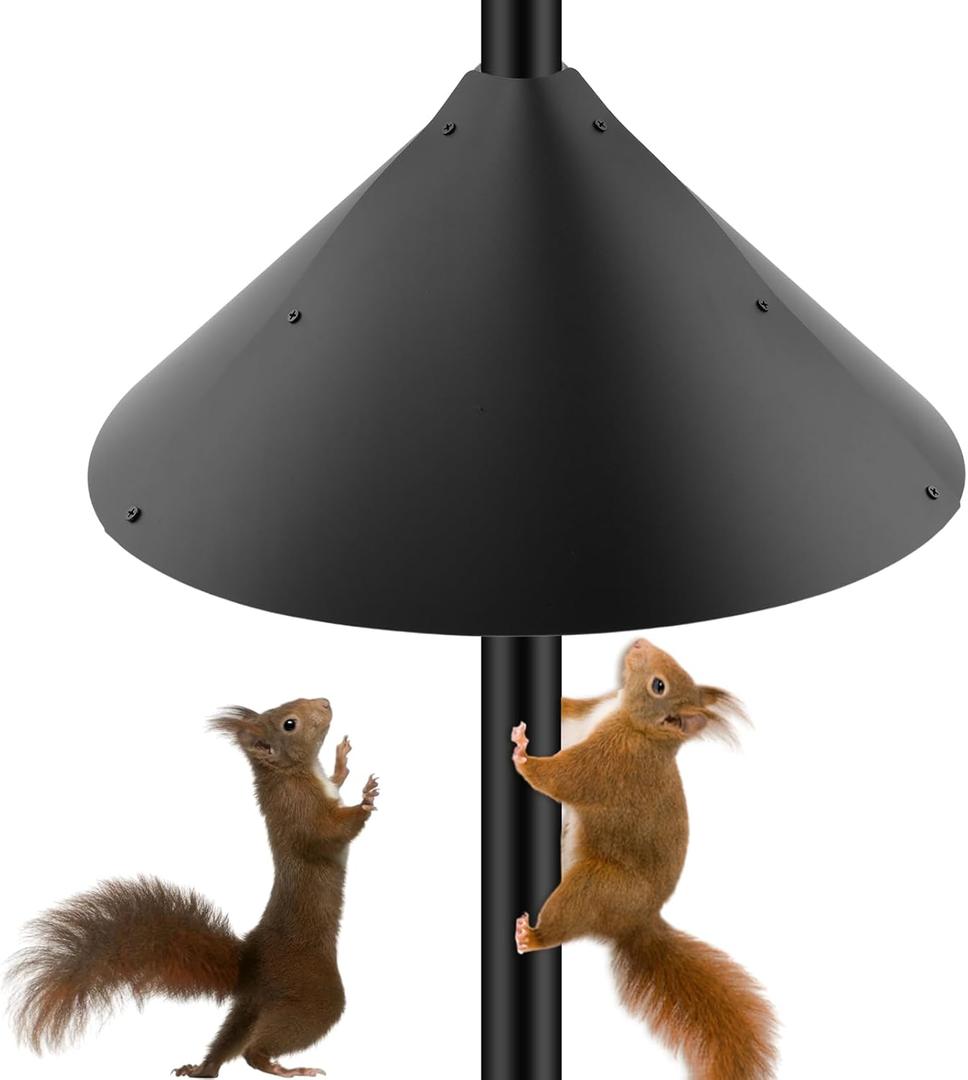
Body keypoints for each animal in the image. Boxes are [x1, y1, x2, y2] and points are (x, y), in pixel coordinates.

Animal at [8, 697, 379, 1079]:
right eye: (289, 723)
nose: (325, 702)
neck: (290, 773)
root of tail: (250, 964)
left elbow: (336, 783)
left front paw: (341, 762)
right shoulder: (300, 813)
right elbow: (330, 834)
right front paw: (365, 800)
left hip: (250, 1006)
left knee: (229, 1041)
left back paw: (201, 1068)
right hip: (313, 995)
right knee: (254, 1050)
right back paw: (284, 1068)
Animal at [511, 639, 778, 1080]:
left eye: (658, 686)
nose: (638, 643)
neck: (638, 728)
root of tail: (637, 923)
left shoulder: (611, 763)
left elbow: (563, 779)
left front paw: (522, 755)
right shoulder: (588, 718)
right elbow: (569, 716)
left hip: (598, 885)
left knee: (566, 920)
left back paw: (532, 936)